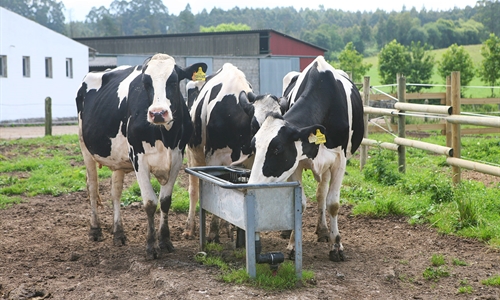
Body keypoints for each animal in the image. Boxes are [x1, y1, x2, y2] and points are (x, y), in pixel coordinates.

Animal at [75, 52, 207, 258]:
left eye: (174, 80)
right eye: (145, 82)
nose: (158, 113)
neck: (163, 135)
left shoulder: (177, 158)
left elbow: (165, 201)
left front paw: (165, 241)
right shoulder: (139, 159)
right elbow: (150, 202)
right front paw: (151, 246)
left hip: (117, 159)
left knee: (115, 192)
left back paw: (118, 233)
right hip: (85, 147)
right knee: (92, 186)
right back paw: (95, 230)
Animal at [184, 63, 282, 241]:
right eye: (255, 124)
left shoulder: (250, 161)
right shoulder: (213, 159)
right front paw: (213, 232)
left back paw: (227, 228)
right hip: (192, 153)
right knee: (193, 189)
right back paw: (189, 228)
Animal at [249, 56, 364, 262]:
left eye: (277, 149)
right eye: (254, 145)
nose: (251, 185)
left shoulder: (339, 161)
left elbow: (333, 203)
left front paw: (336, 246)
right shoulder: (296, 164)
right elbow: (299, 204)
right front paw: (293, 246)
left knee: (321, 194)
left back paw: (323, 230)